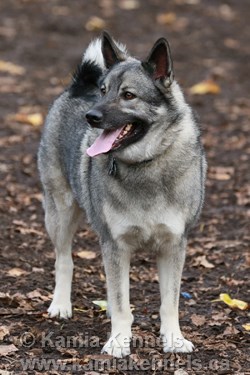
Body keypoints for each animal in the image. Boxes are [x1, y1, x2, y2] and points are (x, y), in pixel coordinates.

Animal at [37, 32, 205, 358]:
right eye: (104, 91)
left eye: (128, 95)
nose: (91, 116)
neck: (146, 166)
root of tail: (78, 87)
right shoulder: (115, 244)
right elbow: (121, 301)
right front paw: (118, 340)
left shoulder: (173, 246)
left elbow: (169, 302)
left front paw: (174, 339)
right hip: (60, 213)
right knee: (64, 260)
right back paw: (61, 304)